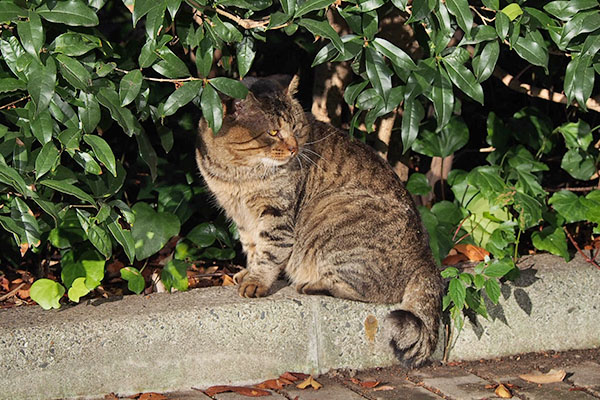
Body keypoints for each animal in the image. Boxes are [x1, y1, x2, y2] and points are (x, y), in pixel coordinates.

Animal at [195, 75, 442, 366]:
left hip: (333, 219)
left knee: (368, 292)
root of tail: (428, 257)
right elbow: (252, 246)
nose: (294, 148)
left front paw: (256, 280)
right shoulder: (241, 217)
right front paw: (248, 271)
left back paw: (312, 284)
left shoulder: (276, 213)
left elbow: (269, 251)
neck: (237, 173)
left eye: (294, 127)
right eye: (274, 132)